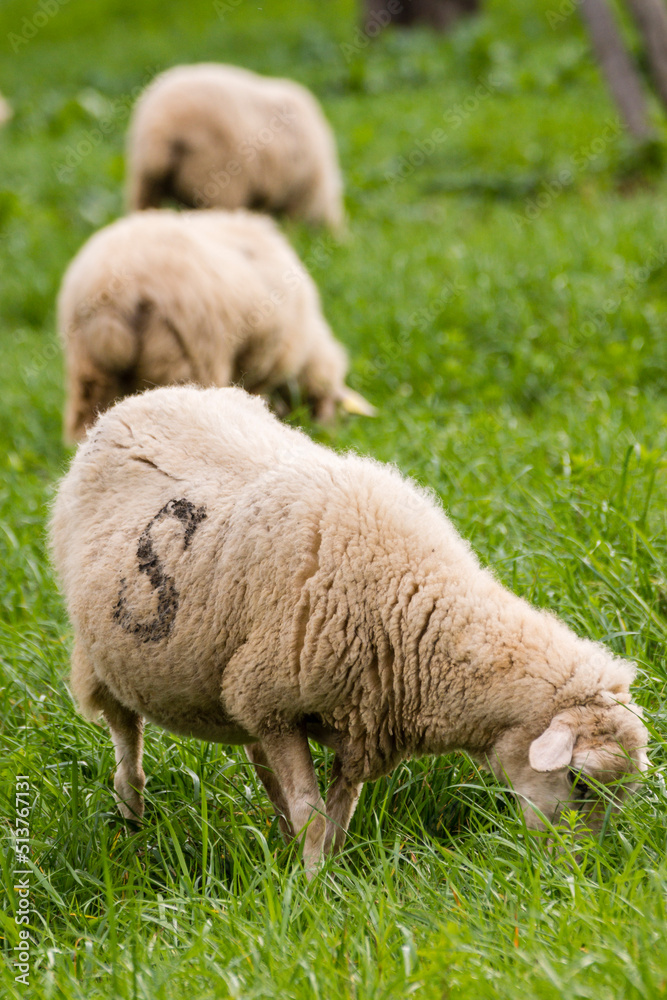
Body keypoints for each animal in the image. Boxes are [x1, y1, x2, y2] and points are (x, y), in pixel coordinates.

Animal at [50, 385, 648, 875]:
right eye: (579, 780)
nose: (575, 874)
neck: (412, 598)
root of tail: (143, 397)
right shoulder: (273, 702)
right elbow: (314, 813)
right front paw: (313, 892)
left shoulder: (360, 725)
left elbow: (336, 817)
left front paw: (325, 877)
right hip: (103, 658)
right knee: (127, 746)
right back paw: (132, 824)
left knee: (259, 764)